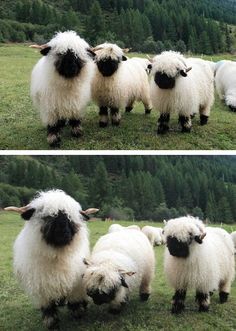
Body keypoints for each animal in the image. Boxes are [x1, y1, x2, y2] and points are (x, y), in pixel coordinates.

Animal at [4, 191, 98, 330]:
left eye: (70, 217)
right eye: (47, 216)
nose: (62, 232)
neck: (57, 256)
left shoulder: (76, 286)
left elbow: (75, 303)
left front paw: (78, 315)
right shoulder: (43, 291)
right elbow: (49, 310)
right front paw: (52, 324)